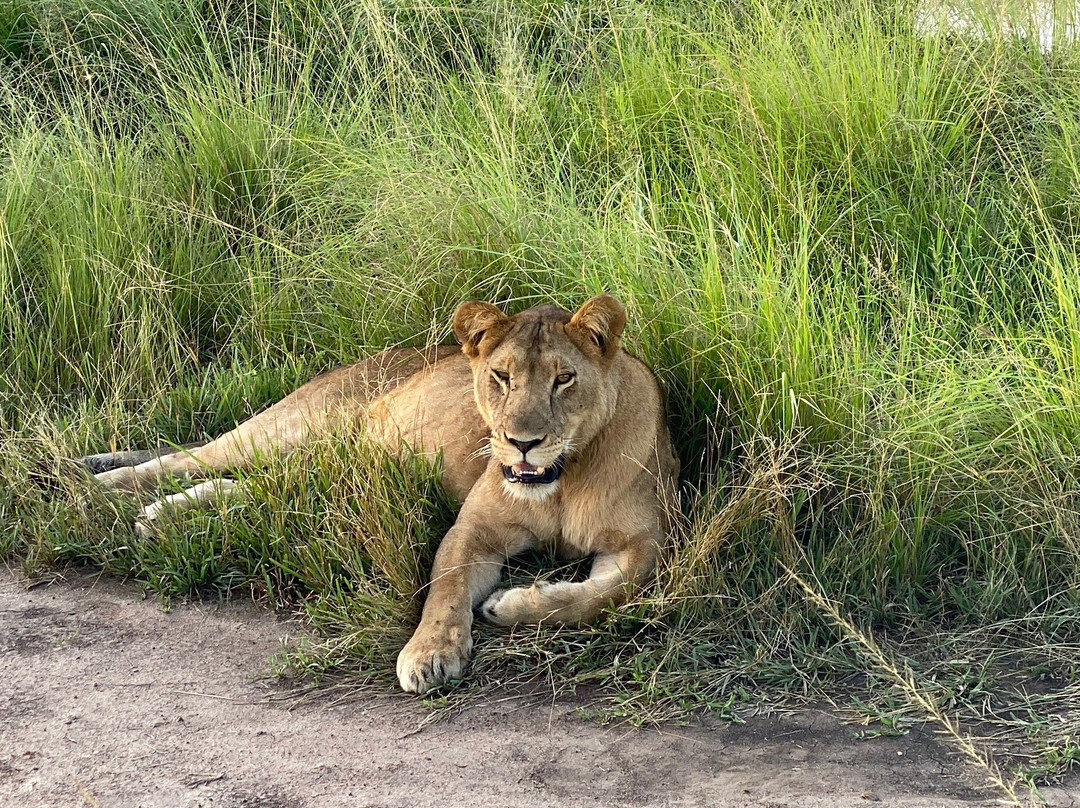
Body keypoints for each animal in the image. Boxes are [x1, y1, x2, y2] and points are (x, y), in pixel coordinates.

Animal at [90, 295, 673, 695]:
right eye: (501, 376)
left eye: (564, 379)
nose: (522, 443)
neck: (561, 482)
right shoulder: (475, 528)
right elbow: (445, 590)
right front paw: (430, 653)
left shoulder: (642, 546)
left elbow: (608, 594)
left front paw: (510, 605)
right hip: (292, 427)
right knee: (190, 459)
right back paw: (100, 485)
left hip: (333, 467)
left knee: (251, 485)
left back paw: (160, 515)